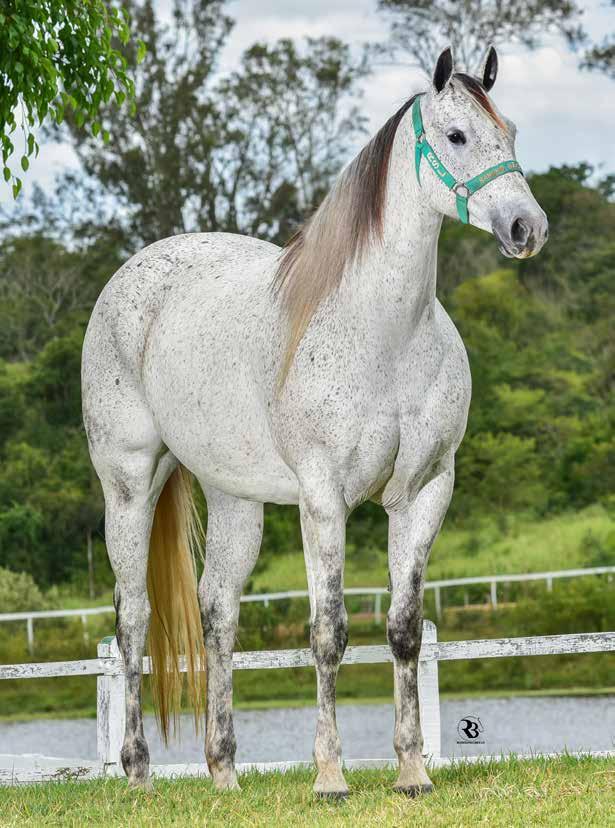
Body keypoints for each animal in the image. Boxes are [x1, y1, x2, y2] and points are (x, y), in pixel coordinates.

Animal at [82, 47, 548, 796]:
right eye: (455, 135)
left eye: (509, 132)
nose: (525, 230)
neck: (385, 335)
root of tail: (130, 279)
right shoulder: (324, 498)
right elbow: (329, 631)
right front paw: (330, 775)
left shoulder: (424, 492)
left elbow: (403, 629)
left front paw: (412, 771)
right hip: (128, 485)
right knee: (132, 619)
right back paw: (138, 773)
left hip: (234, 497)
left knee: (217, 610)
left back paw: (223, 771)